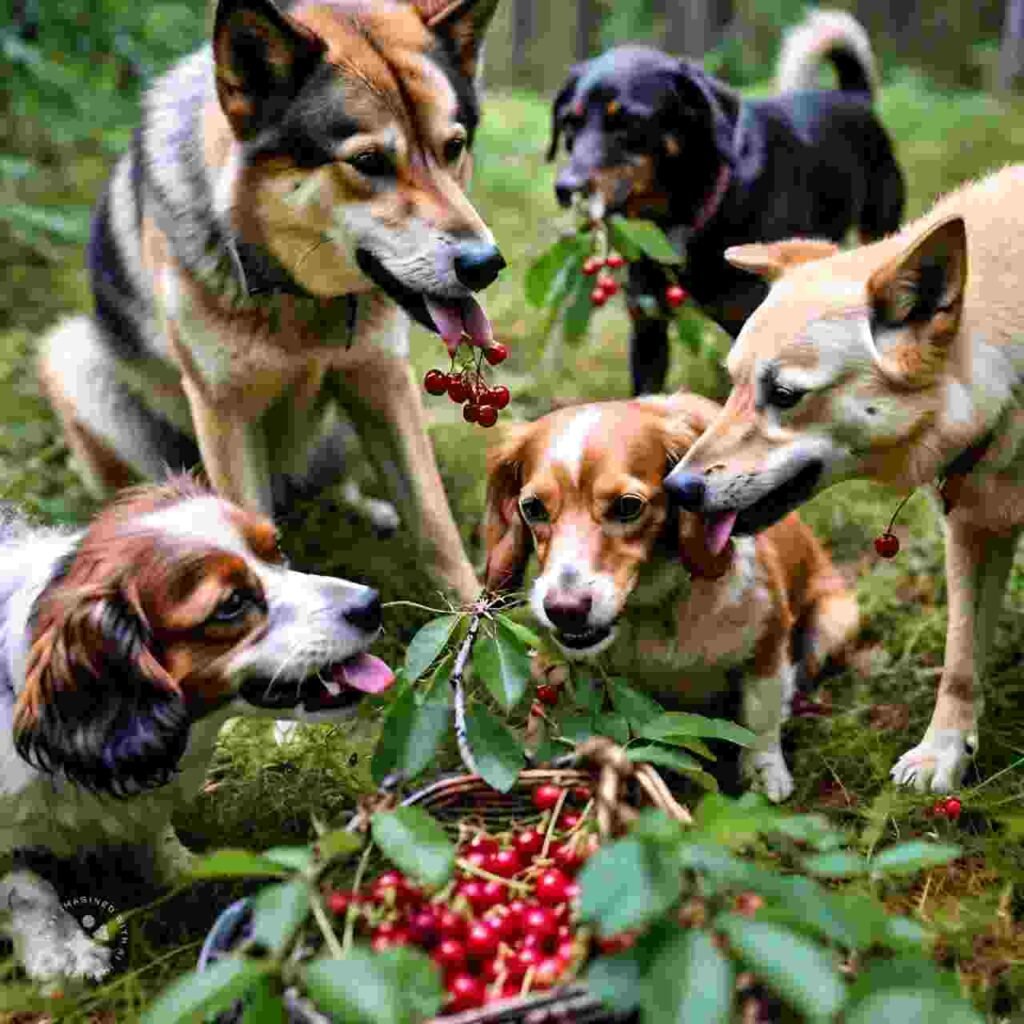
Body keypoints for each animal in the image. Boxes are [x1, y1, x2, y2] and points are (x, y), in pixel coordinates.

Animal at [0, 477, 395, 983]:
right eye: (231, 604)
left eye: (276, 550)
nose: (371, 604)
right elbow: (25, 887)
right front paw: (64, 951)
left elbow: (156, 837)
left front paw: (190, 869)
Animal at [37, 0, 503, 606]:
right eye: (369, 161)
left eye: (453, 147)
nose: (485, 264)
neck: (299, 299)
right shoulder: (224, 412)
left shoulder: (382, 381)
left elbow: (435, 524)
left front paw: (479, 620)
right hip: (72, 361)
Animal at [483, 391, 860, 798]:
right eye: (532, 507)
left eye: (628, 505)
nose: (565, 610)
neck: (653, 607)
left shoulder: (768, 641)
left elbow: (760, 718)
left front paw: (764, 773)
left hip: (834, 622)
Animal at [659, 163, 1024, 794]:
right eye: (732, 383)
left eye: (784, 395)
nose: (676, 490)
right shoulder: (973, 530)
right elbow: (958, 664)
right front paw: (944, 753)